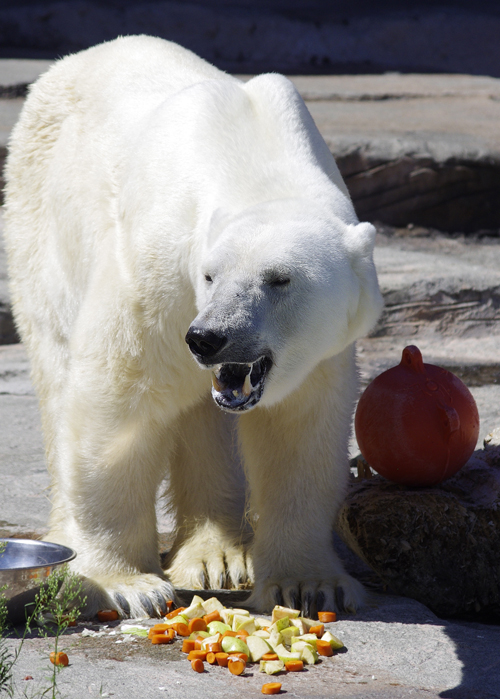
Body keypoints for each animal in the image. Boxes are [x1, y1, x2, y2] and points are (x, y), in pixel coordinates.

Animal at [3, 35, 380, 616]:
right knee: (59, 373)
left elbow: (296, 431)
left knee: (207, 417)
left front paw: (307, 583)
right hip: (39, 226)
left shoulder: (317, 353)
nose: (208, 338)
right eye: (210, 274)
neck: (253, 162)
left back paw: (218, 555)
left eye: (279, 279)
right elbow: (118, 404)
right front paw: (122, 583)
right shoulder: (156, 275)